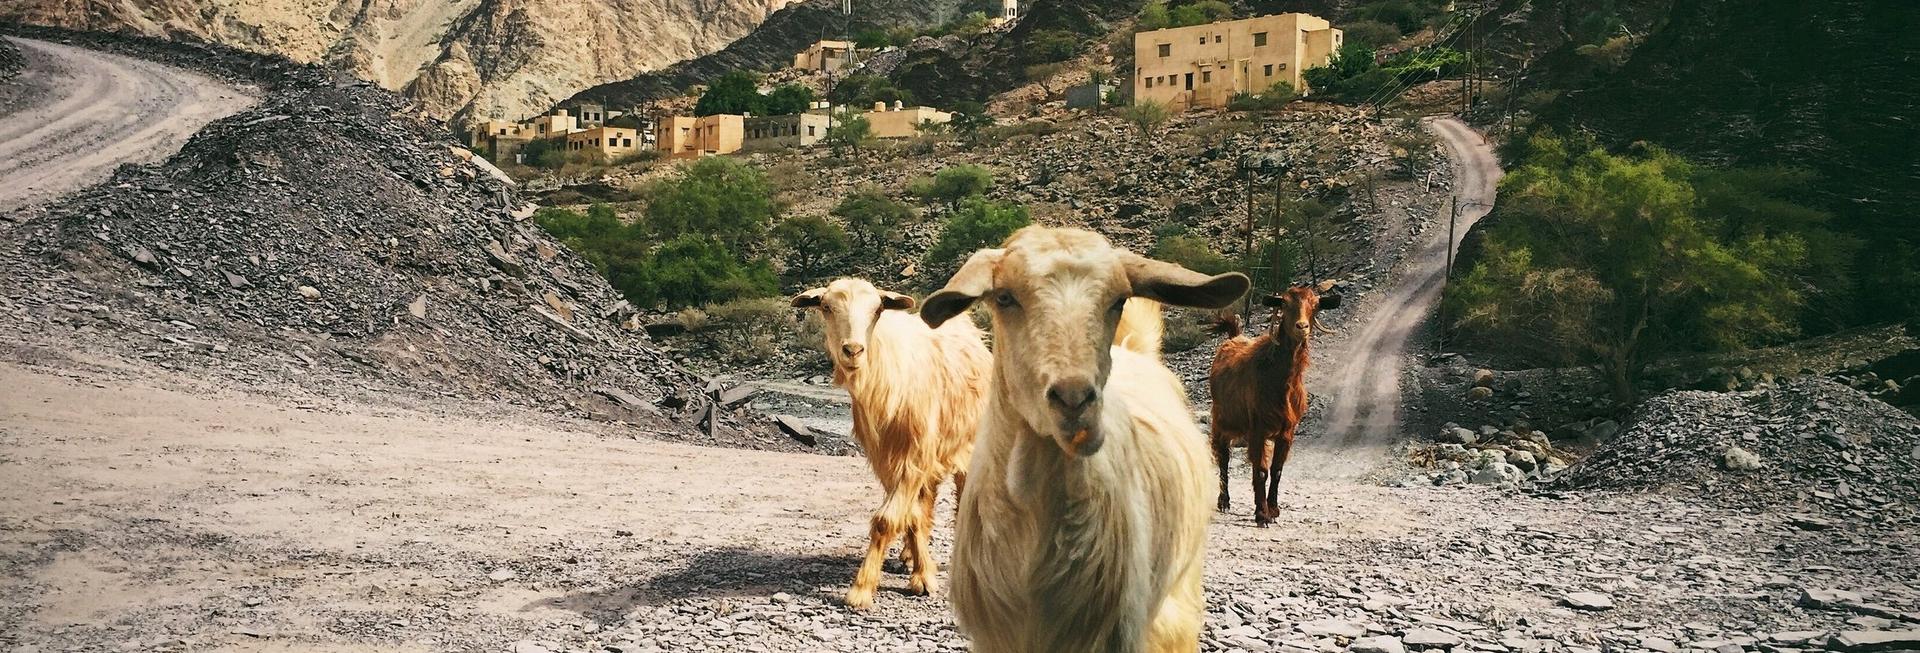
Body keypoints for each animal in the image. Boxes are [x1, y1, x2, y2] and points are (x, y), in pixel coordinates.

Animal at [787, 278, 990, 610]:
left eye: (877, 309)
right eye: (827, 307)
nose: (853, 350)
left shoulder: (915, 455)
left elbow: (887, 520)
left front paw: (862, 589)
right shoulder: (886, 458)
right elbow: (911, 517)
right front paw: (921, 572)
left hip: (966, 445)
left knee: (961, 499)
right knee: (927, 501)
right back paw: (908, 556)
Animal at [1205, 286, 1344, 526]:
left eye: (1315, 305)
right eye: (1285, 304)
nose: (1301, 326)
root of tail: (1233, 338)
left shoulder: (1287, 431)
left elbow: (1277, 470)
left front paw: (1274, 509)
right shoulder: (1257, 429)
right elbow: (1261, 470)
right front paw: (1262, 514)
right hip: (1221, 420)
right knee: (1223, 458)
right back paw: (1224, 501)